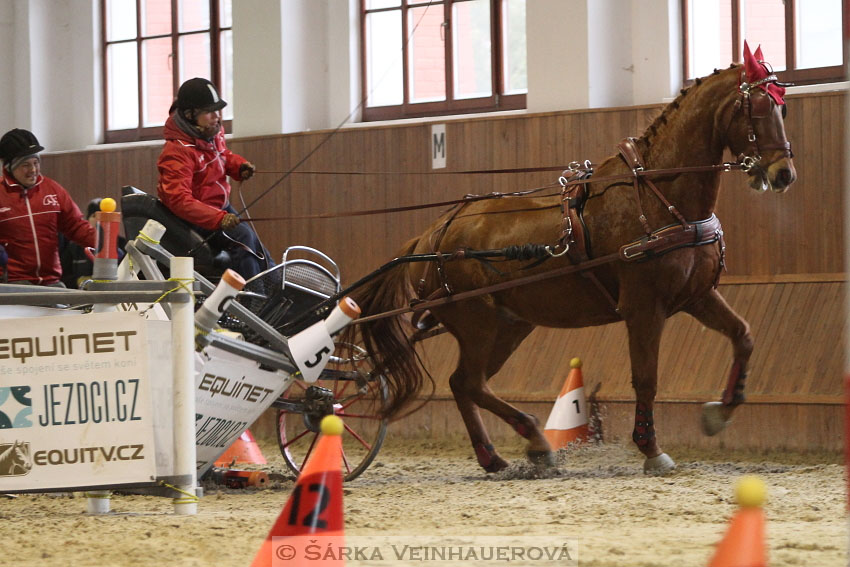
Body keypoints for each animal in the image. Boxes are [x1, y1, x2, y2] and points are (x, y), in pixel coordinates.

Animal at [346, 53, 796, 474]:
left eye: (783, 108)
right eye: (758, 109)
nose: (784, 174)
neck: (655, 193)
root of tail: (432, 233)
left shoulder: (698, 296)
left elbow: (743, 336)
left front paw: (720, 412)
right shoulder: (644, 308)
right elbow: (646, 378)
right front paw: (651, 449)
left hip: (509, 325)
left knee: (466, 384)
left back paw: (502, 453)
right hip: (477, 324)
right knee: (470, 382)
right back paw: (530, 441)